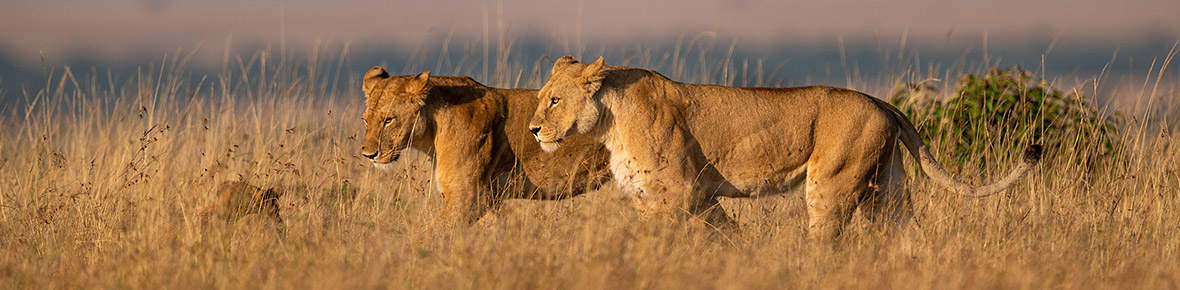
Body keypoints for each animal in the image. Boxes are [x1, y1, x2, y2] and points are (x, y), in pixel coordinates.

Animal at [361, 66, 613, 225]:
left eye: (388, 120)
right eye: (365, 120)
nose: (368, 155)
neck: (433, 128)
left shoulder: (468, 197)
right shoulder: (489, 201)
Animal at [528, 55, 1043, 240]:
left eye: (554, 100)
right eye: (540, 98)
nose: (533, 129)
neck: (610, 121)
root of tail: (881, 101)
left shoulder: (679, 192)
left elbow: (652, 241)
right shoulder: (686, 196)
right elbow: (723, 233)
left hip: (832, 184)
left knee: (826, 241)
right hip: (887, 189)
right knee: (902, 233)